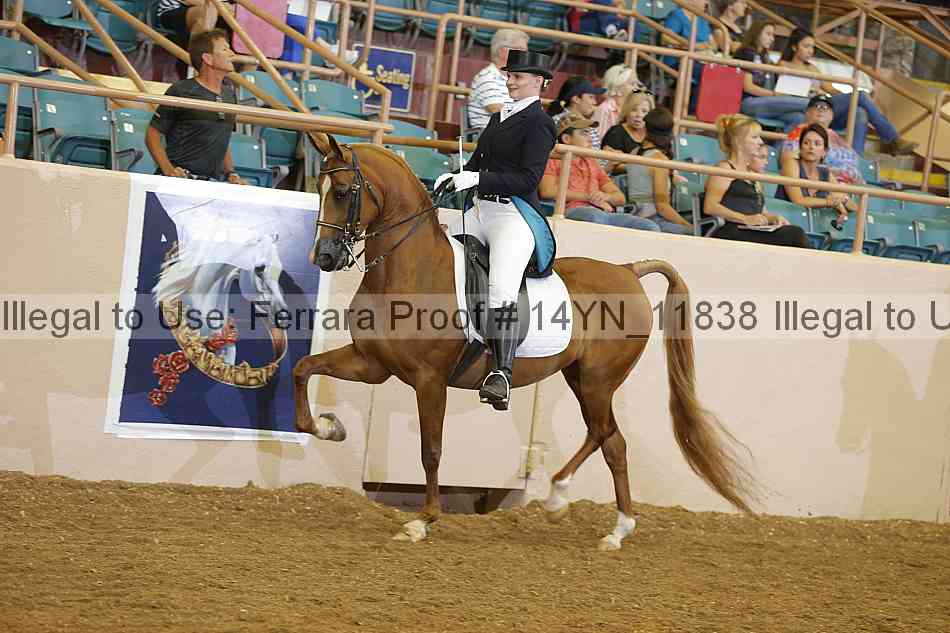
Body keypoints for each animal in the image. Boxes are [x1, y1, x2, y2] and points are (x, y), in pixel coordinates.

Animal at [293, 133, 757, 550]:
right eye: (319, 189)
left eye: (341, 191)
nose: (324, 258)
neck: (410, 269)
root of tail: (628, 270)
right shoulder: (373, 364)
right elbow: (303, 369)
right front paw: (328, 427)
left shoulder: (429, 380)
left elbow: (431, 450)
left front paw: (422, 521)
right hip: (580, 377)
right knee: (611, 440)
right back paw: (608, 525)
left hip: (598, 380)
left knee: (604, 433)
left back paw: (568, 503)